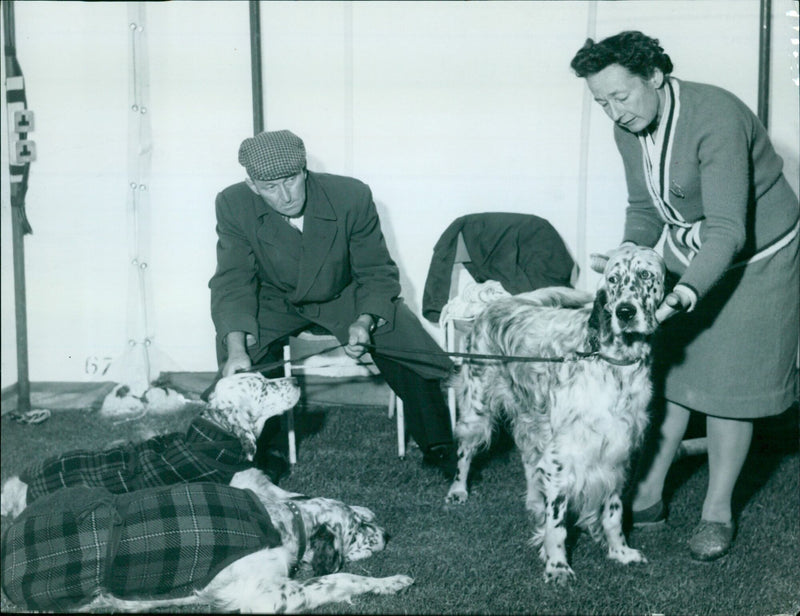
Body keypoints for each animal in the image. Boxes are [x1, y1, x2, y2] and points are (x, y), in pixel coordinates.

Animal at [1, 470, 412, 612]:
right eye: (358, 529)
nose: (388, 533)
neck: (285, 523)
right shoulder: (266, 596)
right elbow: (340, 578)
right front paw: (392, 581)